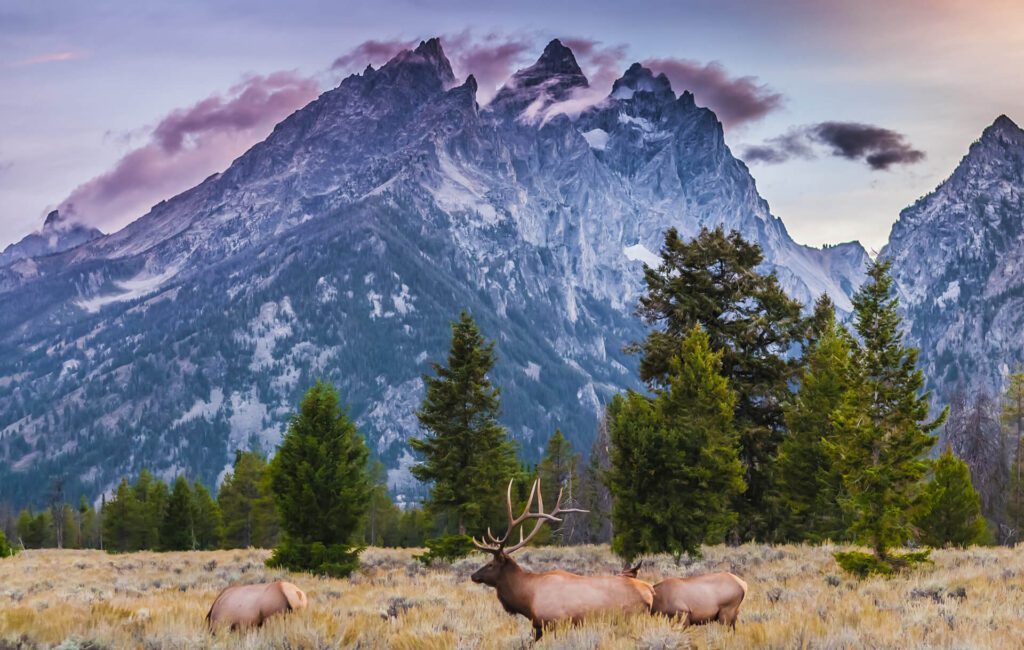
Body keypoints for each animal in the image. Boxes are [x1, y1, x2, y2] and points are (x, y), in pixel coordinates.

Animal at [468, 479, 651, 642]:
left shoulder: (555, 622)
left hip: (629, 618)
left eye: (490, 564)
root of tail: (650, 593)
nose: (473, 575)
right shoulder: (539, 626)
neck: (528, 599)